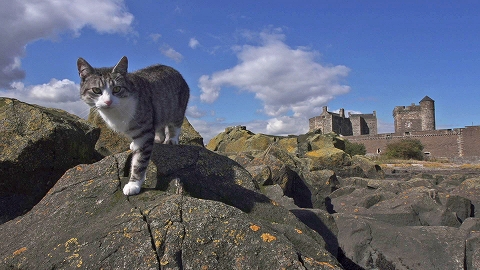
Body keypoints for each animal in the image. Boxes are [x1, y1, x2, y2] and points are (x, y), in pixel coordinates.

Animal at [77, 56, 189, 195]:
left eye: (117, 89)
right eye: (96, 90)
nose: (108, 101)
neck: (116, 112)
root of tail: (173, 69)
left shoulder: (144, 132)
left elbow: (139, 161)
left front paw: (133, 184)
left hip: (177, 109)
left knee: (175, 125)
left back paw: (172, 139)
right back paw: (157, 139)